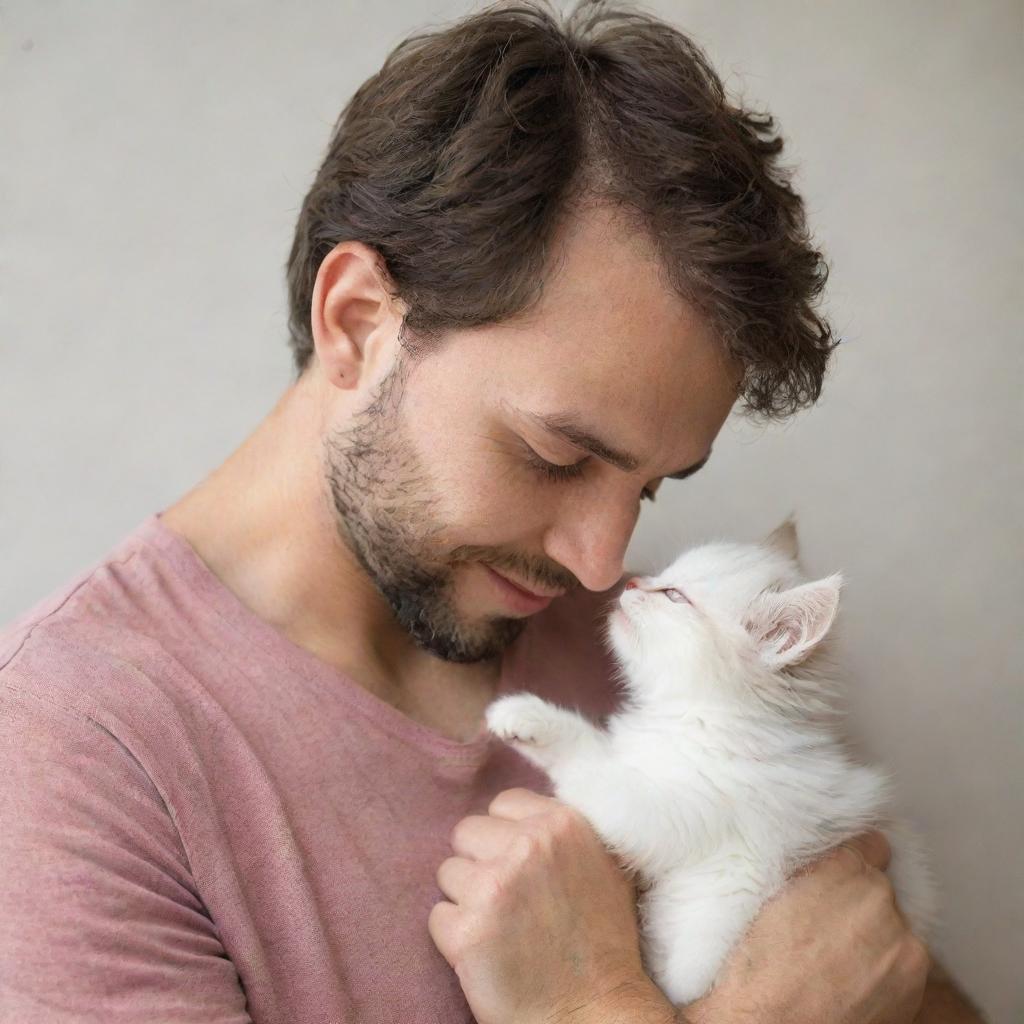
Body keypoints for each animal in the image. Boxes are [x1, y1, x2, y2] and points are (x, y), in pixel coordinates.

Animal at [485, 524, 937, 1003]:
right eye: (664, 575)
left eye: (674, 595)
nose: (632, 583)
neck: (703, 718)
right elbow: (594, 741)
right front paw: (525, 719)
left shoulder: (674, 813)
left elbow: (594, 772)